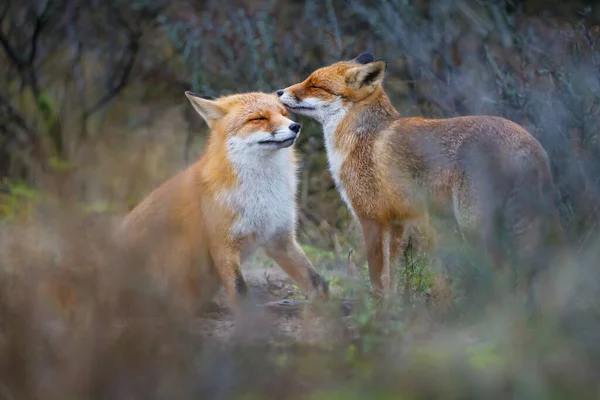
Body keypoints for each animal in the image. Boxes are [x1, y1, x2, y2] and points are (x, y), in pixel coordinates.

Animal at [117, 91, 328, 316]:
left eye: (284, 114)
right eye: (258, 118)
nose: (296, 126)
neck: (262, 194)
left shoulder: (280, 238)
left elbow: (318, 283)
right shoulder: (223, 245)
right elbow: (240, 292)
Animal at [278, 52, 564, 296]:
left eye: (315, 85)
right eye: (309, 80)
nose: (280, 91)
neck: (362, 137)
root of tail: (528, 144)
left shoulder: (370, 217)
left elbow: (376, 273)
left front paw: (377, 306)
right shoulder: (397, 222)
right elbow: (393, 272)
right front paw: (392, 304)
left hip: (473, 224)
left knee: (501, 269)